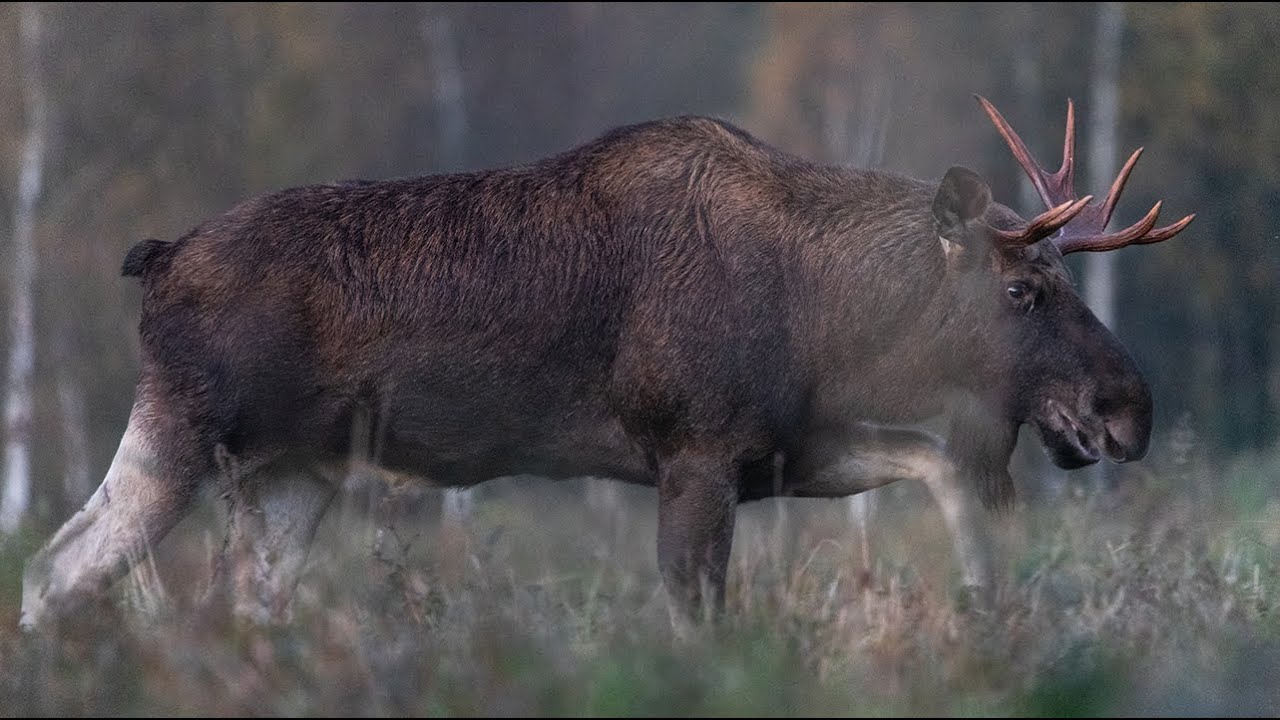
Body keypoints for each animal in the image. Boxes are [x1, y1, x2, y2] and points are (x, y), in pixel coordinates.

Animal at [20, 97, 1192, 631]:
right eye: (1021, 290)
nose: (1128, 407)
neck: (826, 313)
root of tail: (156, 259)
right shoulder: (696, 453)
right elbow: (695, 618)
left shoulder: (790, 448)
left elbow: (943, 468)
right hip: (180, 430)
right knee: (54, 568)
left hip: (289, 475)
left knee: (238, 605)